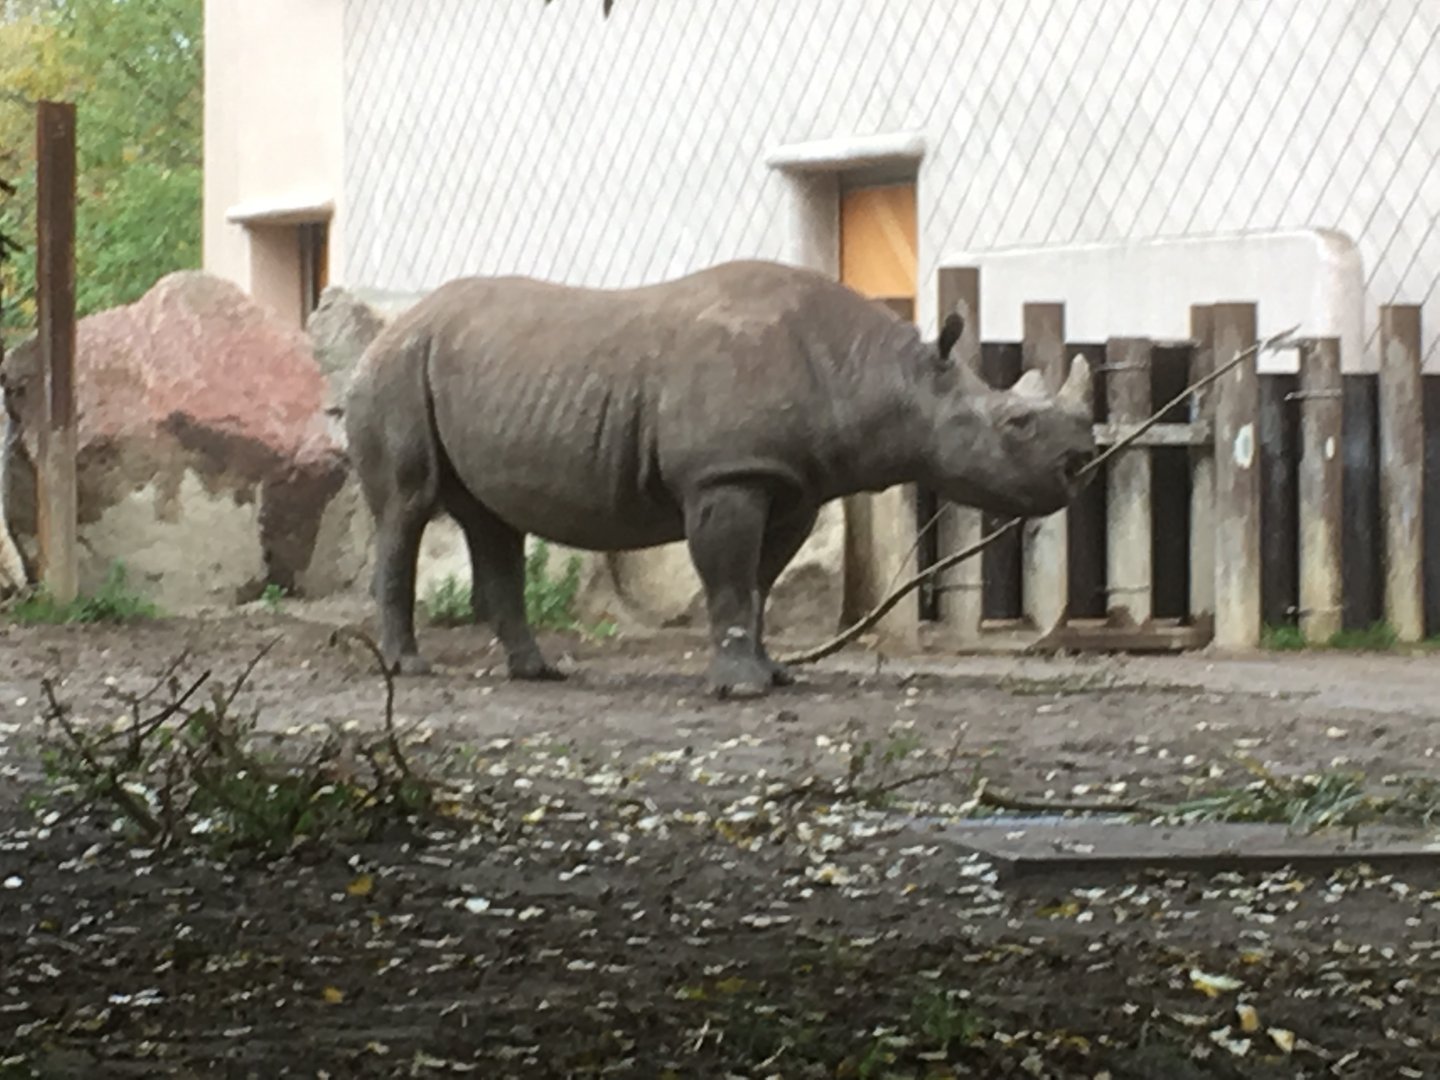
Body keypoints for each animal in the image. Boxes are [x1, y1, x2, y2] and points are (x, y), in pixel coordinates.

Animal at [344, 259, 1094, 698]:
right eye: (1016, 425)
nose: (1078, 464)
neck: (885, 374)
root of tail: (387, 329)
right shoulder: (726, 475)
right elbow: (730, 578)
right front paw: (743, 689)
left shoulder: (793, 484)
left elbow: (759, 582)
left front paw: (775, 674)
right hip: (395, 370)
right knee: (406, 509)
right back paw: (410, 669)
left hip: (460, 366)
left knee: (490, 519)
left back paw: (539, 673)